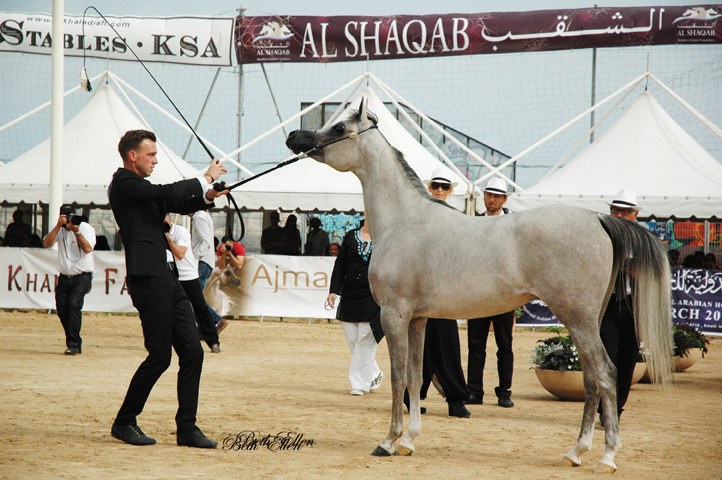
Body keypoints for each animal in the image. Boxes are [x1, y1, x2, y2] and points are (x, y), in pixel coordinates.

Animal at [285, 100, 673, 473]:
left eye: (339, 127)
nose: (294, 137)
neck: (405, 220)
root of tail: (598, 219)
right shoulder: (417, 319)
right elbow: (414, 375)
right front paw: (409, 440)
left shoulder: (394, 315)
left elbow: (397, 377)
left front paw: (388, 441)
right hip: (587, 321)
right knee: (592, 378)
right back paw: (576, 452)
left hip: (577, 319)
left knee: (606, 374)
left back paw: (607, 456)